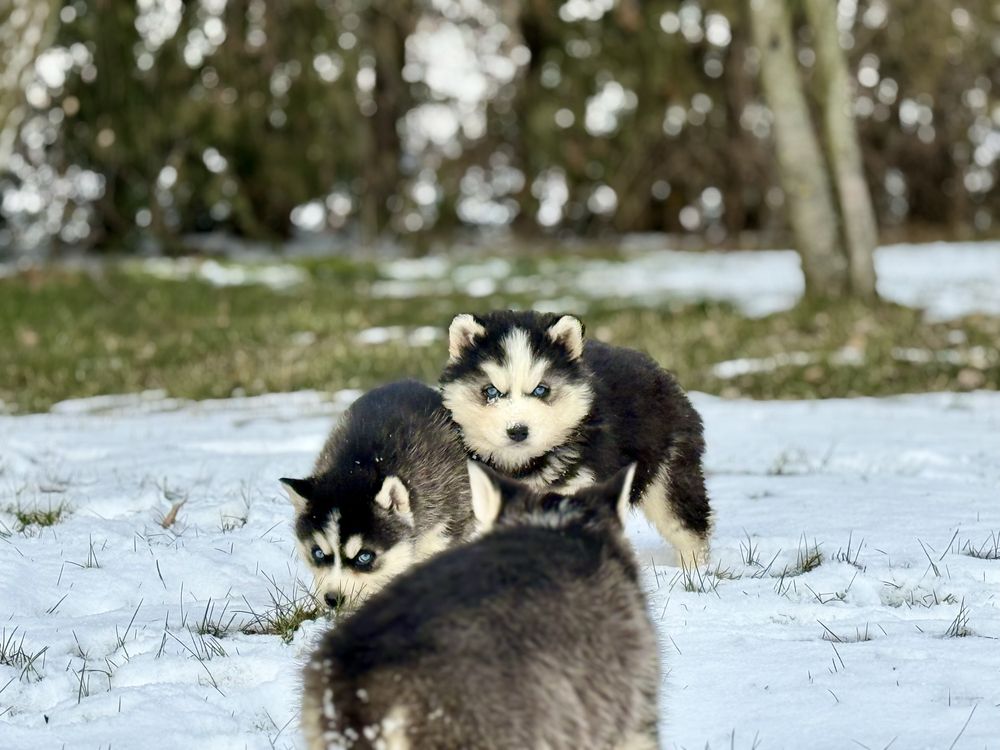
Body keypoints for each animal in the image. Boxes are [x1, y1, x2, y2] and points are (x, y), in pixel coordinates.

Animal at [440, 310, 712, 564]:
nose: (518, 430)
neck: (524, 466)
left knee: (687, 525)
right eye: (491, 391)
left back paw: (694, 570)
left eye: (541, 389)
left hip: (669, 474)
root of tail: (659, 371)